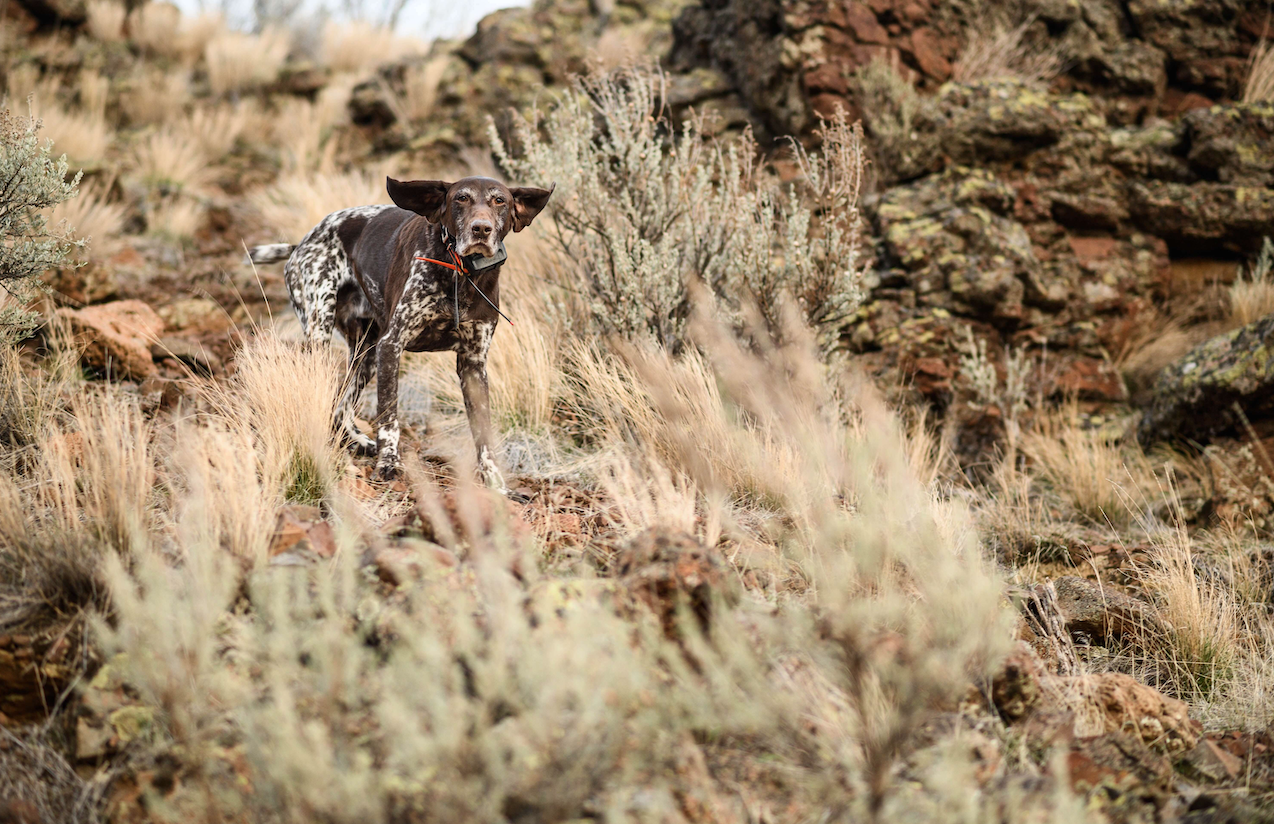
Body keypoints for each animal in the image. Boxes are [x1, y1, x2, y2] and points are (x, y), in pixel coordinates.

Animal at [245, 175, 550, 489]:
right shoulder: (391, 346)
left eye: (499, 201)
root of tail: (301, 244)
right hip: (322, 332)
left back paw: (360, 442)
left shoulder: (473, 364)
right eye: (461, 198)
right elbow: (389, 417)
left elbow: (483, 432)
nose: (481, 228)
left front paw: (494, 480)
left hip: (365, 355)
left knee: (340, 406)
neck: (462, 274)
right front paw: (389, 463)